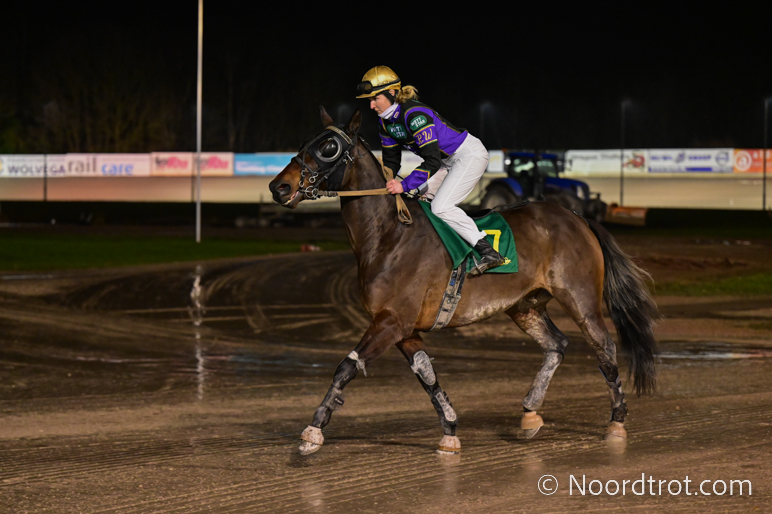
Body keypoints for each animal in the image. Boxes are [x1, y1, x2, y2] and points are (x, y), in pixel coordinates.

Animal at [268, 107, 658, 455]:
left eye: (328, 147)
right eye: (305, 142)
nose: (278, 186)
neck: (389, 234)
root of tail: (576, 216)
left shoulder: (391, 322)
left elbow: (346, 367)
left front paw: (313, 431)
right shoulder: (404, 329)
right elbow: (427, 376)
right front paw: (450, 431)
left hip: (580, 298)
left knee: (604, 349)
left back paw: (616, 422)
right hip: (525, 305)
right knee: (557, 344)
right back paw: (530, 413)